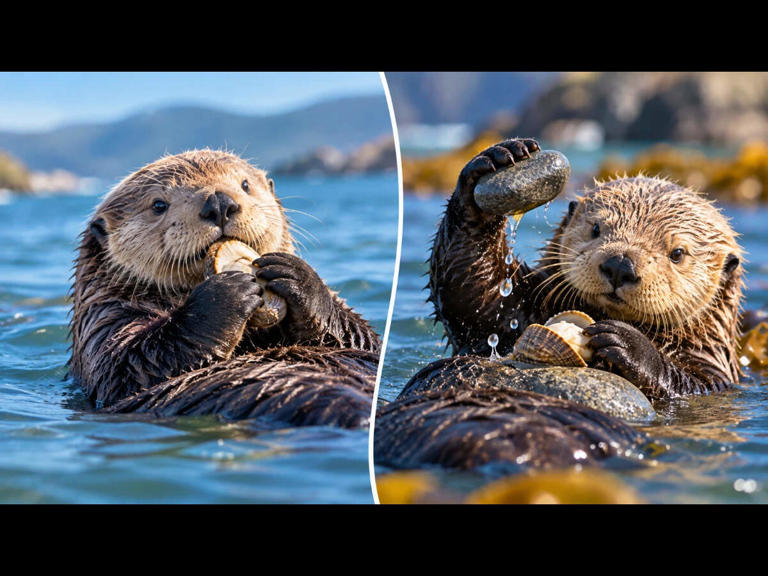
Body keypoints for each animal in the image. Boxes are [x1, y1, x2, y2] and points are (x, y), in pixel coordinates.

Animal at [69, 150, 380, 428]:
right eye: (158, 205)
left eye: (245, 185)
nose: (219, 202)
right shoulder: (104, 321)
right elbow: (127, 365)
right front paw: (226, 292)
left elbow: (363, 338)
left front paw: (297, 276)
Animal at [375, 137, 744, 473]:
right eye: (596, 228)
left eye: (677, 253)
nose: (620, 265)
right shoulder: (520, 309)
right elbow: (473, 297)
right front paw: (500, 157)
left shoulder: (713, 374)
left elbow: (690, 384)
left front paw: (625, 342)